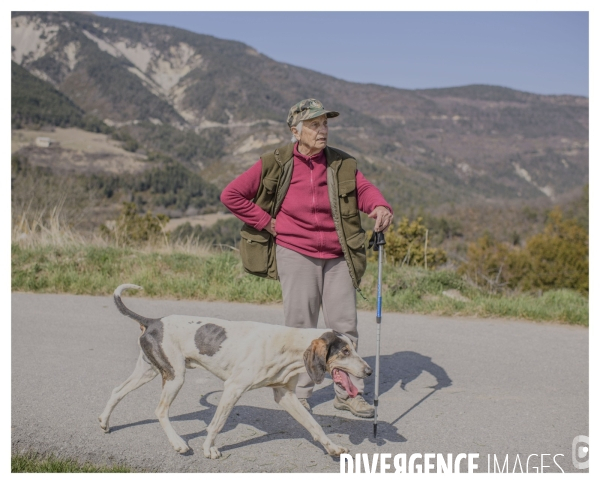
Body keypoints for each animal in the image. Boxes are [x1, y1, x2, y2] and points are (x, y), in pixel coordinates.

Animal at [99, 286, 372, 460]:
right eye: (345, 351)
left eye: (353, 347)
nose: (369, 371)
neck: (288, 344)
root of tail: (154, 321)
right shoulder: (233, 388)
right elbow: (216, 424)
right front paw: (209, 449)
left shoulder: (285, 395)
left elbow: (314, 424)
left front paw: (332, 447)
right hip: (175, 376)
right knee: (160, 411)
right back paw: (178, 443)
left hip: (149, 372)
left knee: (116, 391)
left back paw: (104, 421)